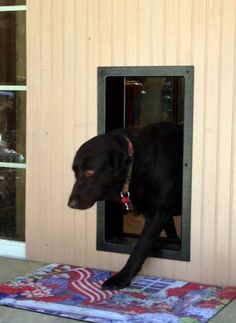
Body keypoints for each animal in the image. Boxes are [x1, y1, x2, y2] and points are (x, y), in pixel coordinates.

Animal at [68, 123, 183, 292]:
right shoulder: (164, 214)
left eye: (90, 172)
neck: (137, 164)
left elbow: (139, 249)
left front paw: (121, 278)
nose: (71, 204)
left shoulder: (157, 213)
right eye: (75, 173)